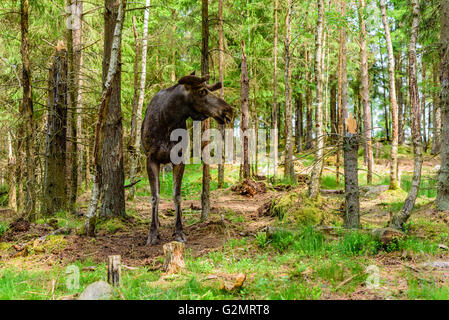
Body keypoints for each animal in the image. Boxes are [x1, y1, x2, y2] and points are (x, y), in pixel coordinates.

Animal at [141, 73, 233, 245]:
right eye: (202, 91)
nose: (228, 111)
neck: (168, 122)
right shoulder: (151, 158)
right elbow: (154, 197)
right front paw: (152, 233)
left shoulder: (179, 158)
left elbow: (177, 196)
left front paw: (179, 231)